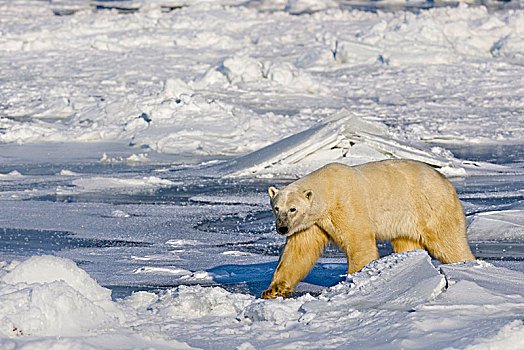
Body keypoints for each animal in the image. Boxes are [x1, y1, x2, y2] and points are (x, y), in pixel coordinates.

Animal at [262, 159, 474, 298]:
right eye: (276, 208)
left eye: (293, 209)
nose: (282, 228)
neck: (328, 189)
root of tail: (446, 181)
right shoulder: (312, 223)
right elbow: (298, 253)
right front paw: (273, 289)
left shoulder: (346, 205)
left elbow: (358, 243)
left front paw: (354, 281)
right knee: (407, 243)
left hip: (431, 207)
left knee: (448, 243)